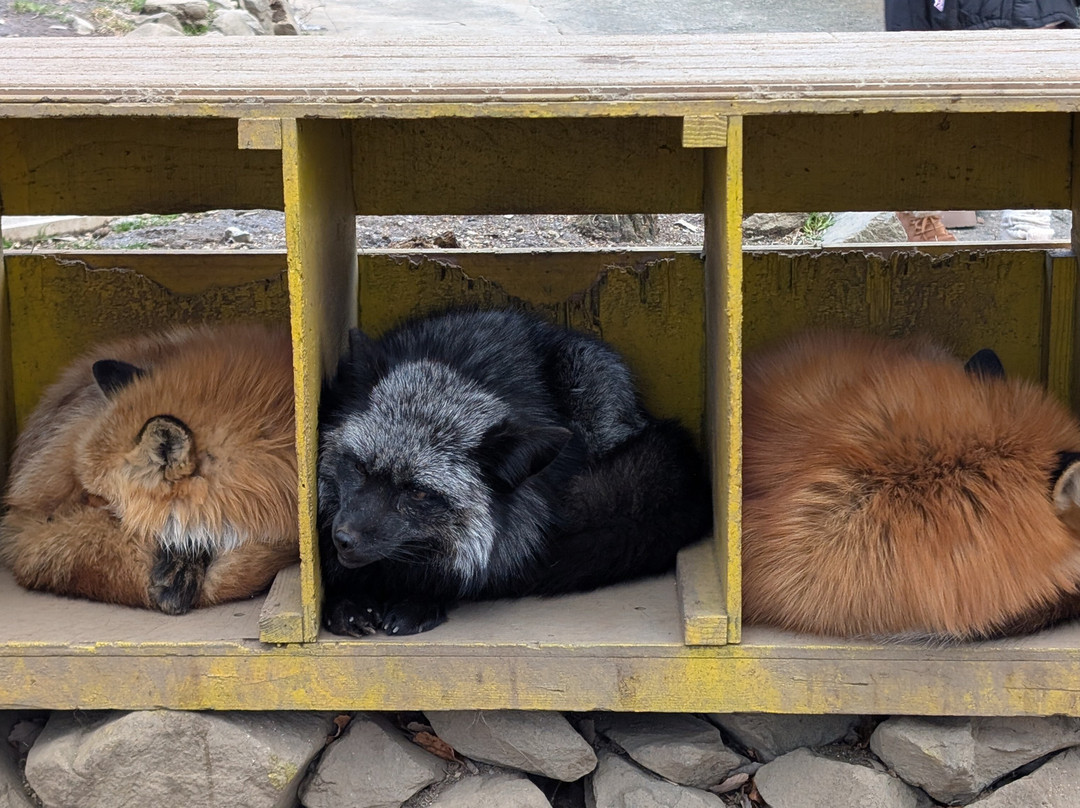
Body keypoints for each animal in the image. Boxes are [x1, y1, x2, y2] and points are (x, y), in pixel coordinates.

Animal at [317, 308, 712, 636]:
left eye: (418, 492)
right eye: (359, 467)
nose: (344, 539)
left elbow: (477, 568)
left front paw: (420, 599)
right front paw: (346, 601)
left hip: (587, 384)